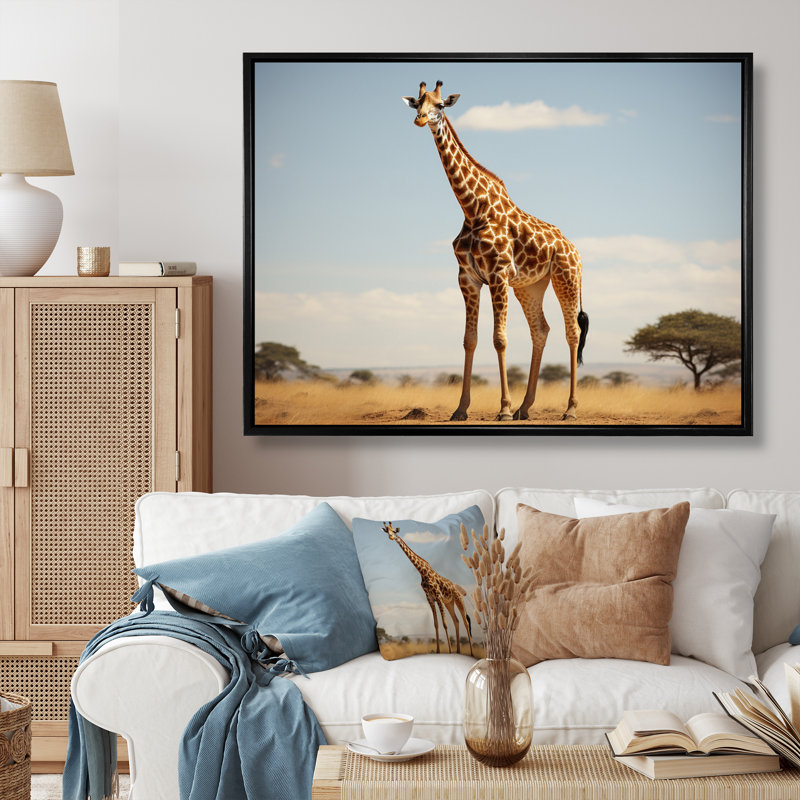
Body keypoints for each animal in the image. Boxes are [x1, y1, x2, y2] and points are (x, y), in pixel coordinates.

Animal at [382, 523, 474, 656]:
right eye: (387, 531)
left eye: (394, 531)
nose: (391, 537)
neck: (423, 572)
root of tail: (459, 589)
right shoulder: (430, 598)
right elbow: (436, 624)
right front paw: (438, 651)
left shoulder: (438, 597)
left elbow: (445, 624)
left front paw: (449, 651)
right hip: (449, 602)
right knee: (456, 621)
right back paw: (458, 651)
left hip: (458, 600)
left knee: (465, 622)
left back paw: (470, 653)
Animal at [402, 81, 589, 422]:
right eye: (418, 103)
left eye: (441, 105)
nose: (421, 120)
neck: (472, 209)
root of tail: (575, 250)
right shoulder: (468, 278)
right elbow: (470, 340)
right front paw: (461, 409)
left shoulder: (498, 274)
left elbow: (499, 339)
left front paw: (502, 408)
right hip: (530, 286)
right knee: (541, 330)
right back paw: (525, 408)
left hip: (566, 278)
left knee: (571, 332)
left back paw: (569, 409)